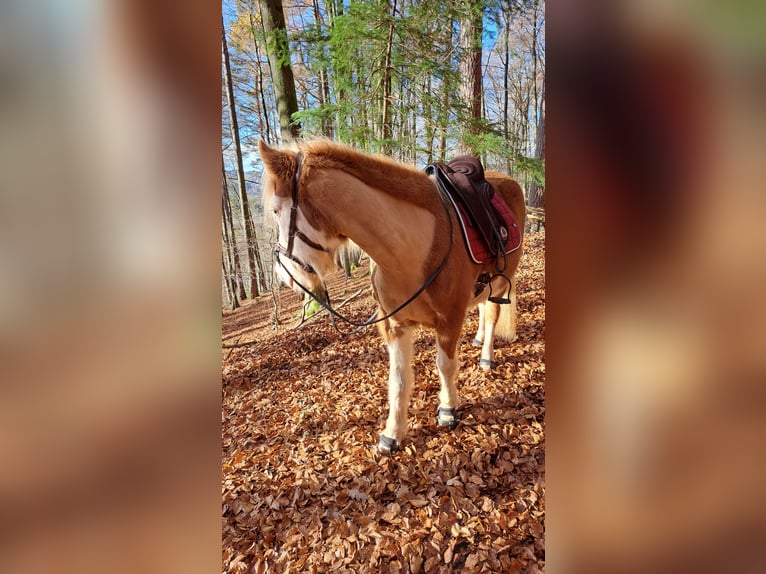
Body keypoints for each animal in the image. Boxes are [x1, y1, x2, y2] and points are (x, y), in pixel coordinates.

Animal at [258, 139, 525, 454]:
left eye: (276, 211)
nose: (285, 276)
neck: (408, 249)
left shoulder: (449, 320)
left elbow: (445, 366)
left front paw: (448, 409)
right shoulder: (394, 325)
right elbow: (398, 380)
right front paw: (393, 433)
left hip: (501, 281)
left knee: (492, 313)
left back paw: (486, 356)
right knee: (482, 307)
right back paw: (479, 337)